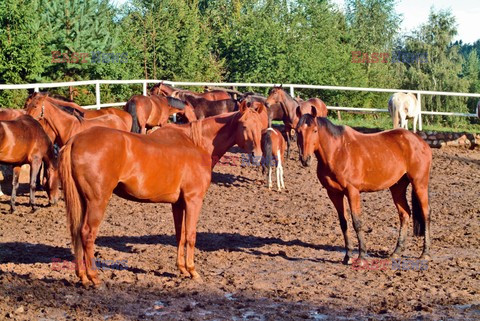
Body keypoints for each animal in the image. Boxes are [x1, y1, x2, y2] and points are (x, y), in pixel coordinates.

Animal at [58, 105, 264, 288]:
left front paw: (182, 269)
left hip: (83, 201)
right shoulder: (193, 200)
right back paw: (94, 277)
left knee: (77, 232)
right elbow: (191, 235)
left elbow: (180, 235)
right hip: (97, 201)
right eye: (243, 125)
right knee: (87, 233)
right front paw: (192, 271)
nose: (257, 156)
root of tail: (75, 140)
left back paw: (83, 277)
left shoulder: (178, 204)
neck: (196, 143)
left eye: (261, 126)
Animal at [294, 108, 434, 264]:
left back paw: (425, 253)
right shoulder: (334, 194)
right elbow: (344, 223)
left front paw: (362, 257)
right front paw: (348, 256)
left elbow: (357, 222)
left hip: (419, 183)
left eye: (315, 130)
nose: (305, 159)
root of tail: (420, 141)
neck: (337, 151)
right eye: (298, 130)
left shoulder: (352, 191)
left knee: (426, 213)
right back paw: (396, 252)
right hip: (397, 187)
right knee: (405, 214)